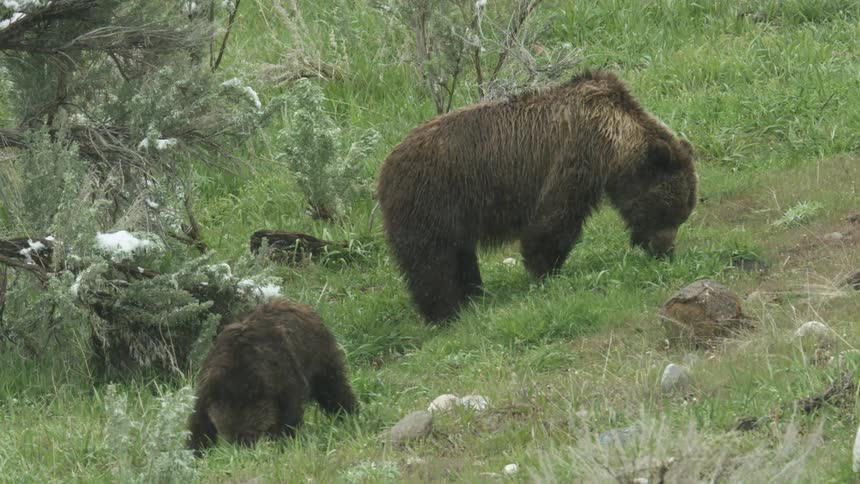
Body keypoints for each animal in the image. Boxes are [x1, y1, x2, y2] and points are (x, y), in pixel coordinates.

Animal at [187, 297, 358, 456]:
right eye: (230, 435)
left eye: (251, 432)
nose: (243, 449)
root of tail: (298, 304)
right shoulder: (209, 387)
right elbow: (199, 423)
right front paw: (197, 450)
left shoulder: (282, 377)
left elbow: (288, 413)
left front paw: (283, 440)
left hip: (318, 354)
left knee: (332, 387)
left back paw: (349, 414)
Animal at [376, 70, 698, 323]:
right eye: (667, 211)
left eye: (683, 214)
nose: (665, 251)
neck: (612, 137)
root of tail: (384, 167)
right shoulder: (574, 158)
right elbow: (555, 218)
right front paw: (546, 269)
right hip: (431, 199)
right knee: (432, 261)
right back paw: (444, 312)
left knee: (459, 253)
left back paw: (474, 295)